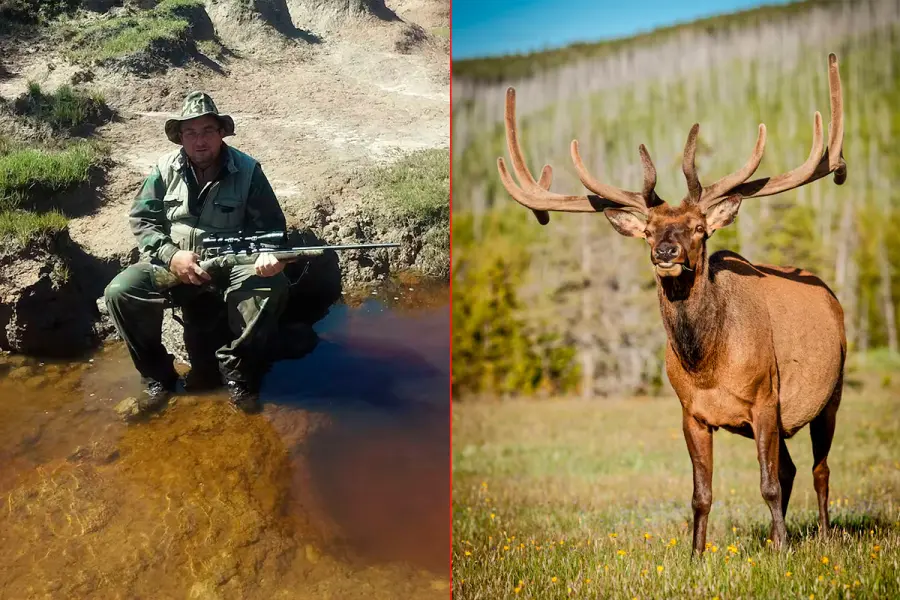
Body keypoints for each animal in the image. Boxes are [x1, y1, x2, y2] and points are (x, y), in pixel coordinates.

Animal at [496, 53, 847, 554]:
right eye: (648, 230)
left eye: (699, 228)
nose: (666, 252)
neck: (708, 364)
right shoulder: (691, 414)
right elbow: (702, 493)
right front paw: (697, 556)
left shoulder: (765, 399)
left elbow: (768, 485)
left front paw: (781, 550)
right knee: (794, 468)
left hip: (830, 395)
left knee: (819, 470)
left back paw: (822, 536)